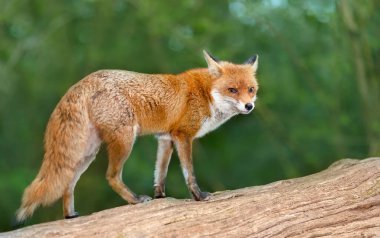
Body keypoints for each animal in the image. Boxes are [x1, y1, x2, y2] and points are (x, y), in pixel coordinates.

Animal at [14, 50, 258, 223]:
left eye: (251, 89)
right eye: (232, 90)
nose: (249, 106)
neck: (206, 94)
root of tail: (82, 82)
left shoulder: (165, 138)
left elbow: (160, 173)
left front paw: (160, 196)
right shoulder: (183, 136)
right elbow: (189, 173)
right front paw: (198, 196)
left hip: (87, 153)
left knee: (68, 182)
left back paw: (69, 215)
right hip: (124, 140)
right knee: (111, 176)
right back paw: (134, 200)